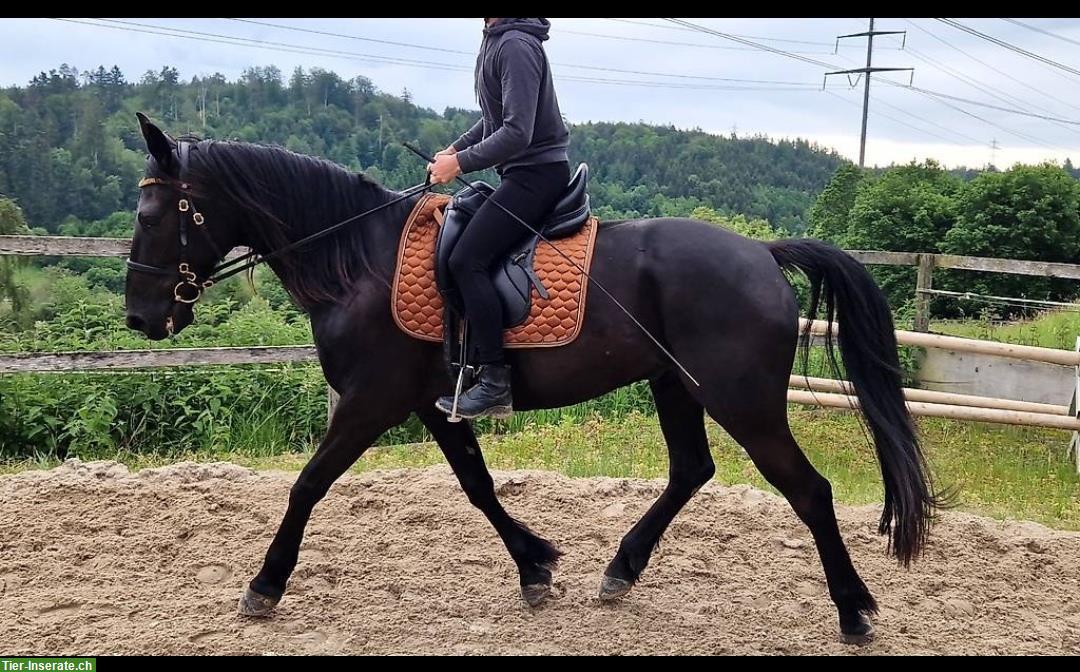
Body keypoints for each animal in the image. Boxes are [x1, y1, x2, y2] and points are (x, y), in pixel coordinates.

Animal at [124, 115, 937, 648]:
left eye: (155, 213)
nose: (139, 316)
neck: (358, 259)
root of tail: (762, 255)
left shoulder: (370, 401)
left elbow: (307, 484)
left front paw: (264, 586)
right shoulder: (434, 402)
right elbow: (478, 487)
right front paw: (536, 567)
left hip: (740, 399)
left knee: (809, 490)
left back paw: (854, 611)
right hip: (675, 386)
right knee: (692, 470)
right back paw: (621, 570)